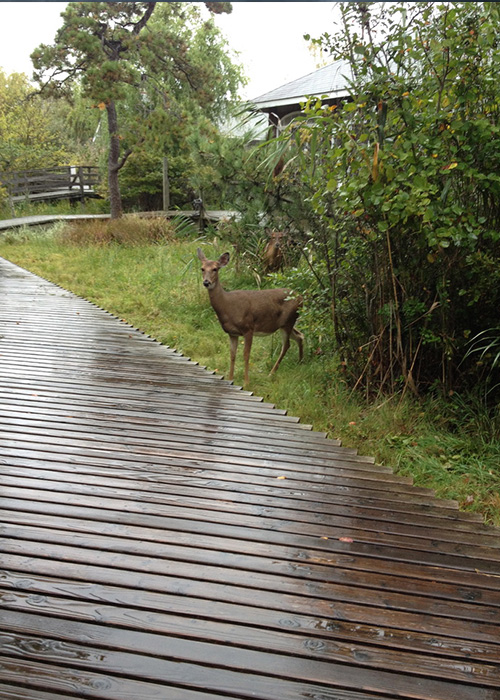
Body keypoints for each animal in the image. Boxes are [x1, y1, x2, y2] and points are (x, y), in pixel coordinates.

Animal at [197, 248, 304, 385]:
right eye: (202, 268)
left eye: (215, 269)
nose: (206, 282)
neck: (227, 306)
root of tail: (301, 297)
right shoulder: (232, 333)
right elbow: (232, 355)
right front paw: (230, 378)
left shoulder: (248, 328)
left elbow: (246, 354)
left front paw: (246, 382)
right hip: (285, 323)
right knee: (299, 336)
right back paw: (300, 362)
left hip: (289, 320)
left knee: (286, 345)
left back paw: (271, 373)